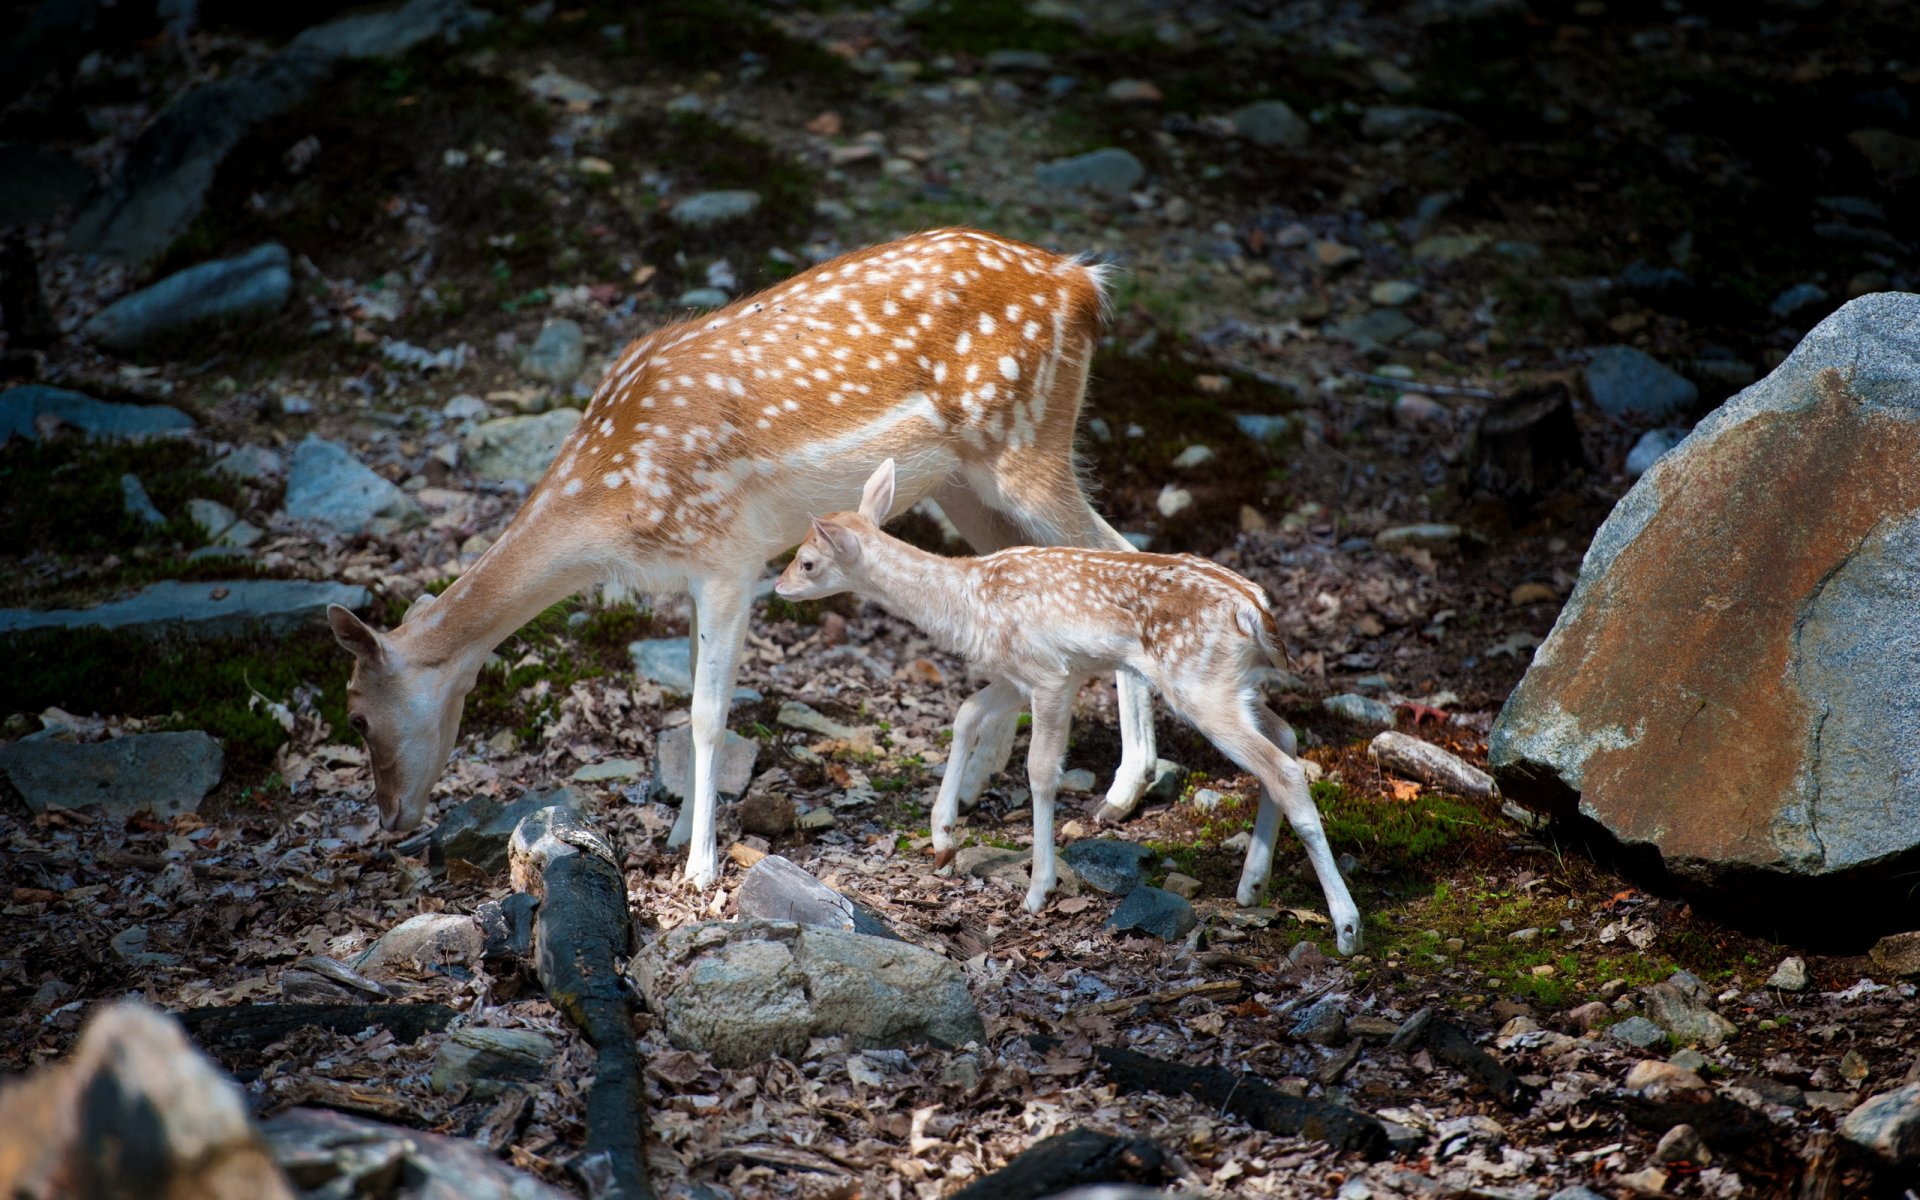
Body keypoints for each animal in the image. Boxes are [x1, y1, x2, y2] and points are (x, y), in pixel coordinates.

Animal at [325, 227, 1163, 891]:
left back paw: (1125, 786)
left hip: (1028, 442)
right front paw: (676, 835)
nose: (391, 822)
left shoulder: (729, 554)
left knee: (1120, 552)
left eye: (357, 716)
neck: (611, 502)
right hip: (965, 480)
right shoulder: (699, 573)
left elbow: (705, 714)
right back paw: (981, 785)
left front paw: (698, 867)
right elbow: (691, 703)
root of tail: (1084, 283)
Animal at [774, 460, 1363, 955]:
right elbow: (965, 712)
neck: (966, 600)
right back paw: (1251, 886)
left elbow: (1040, 770)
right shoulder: (1017, 674)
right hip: (1233, 685)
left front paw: (1038, 890)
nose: (778, 586)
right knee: (1285, 739)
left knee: (1284, 768)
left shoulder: (1050, 674)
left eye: (807, 561)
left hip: (1198, 684)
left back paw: (1347, 928)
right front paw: (942, 839)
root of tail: (1255, 609)